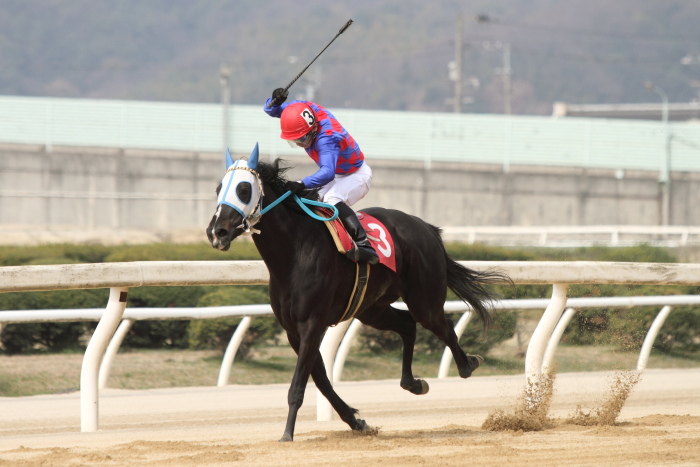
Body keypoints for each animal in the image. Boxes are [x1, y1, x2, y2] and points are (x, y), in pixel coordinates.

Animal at [205, 145, 512, 442]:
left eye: (244, 189)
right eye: (219, 188)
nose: (217, 232)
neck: (294, 252)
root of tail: (425, 227)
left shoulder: (312, 323)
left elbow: (299, 384)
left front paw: (287, 434)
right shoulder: (293, 330)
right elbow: (321, 380)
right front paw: (356, 421)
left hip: (424, 298)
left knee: (443, 325)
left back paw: (467, 364)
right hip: (371, 308)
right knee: (407, 325)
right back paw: (413, 382)